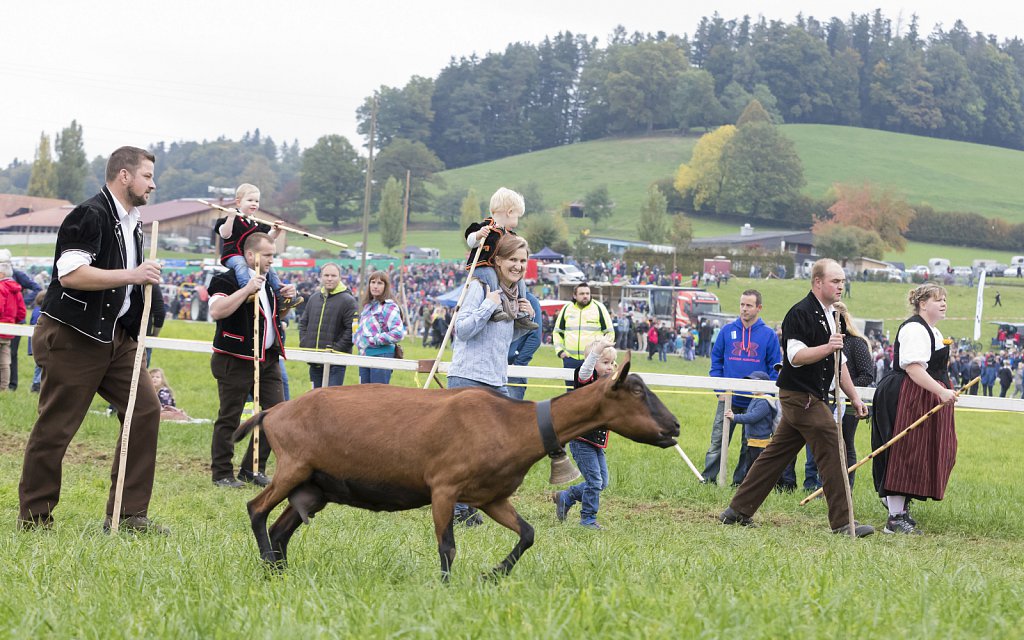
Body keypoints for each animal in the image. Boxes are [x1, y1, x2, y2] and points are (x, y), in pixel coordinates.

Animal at [232, 356, 679, 581]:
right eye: (636, 390)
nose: (674, 427)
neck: (513, 424)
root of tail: (272, 412)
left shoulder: (491, 497)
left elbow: (528, 534)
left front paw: (494, 574)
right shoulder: (444, 489)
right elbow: (447, 546)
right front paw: (445, 588)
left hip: (315, 487)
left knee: (281, 527)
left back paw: (278, 571)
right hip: (293, 466)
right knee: (256, 510)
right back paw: (267, 565)